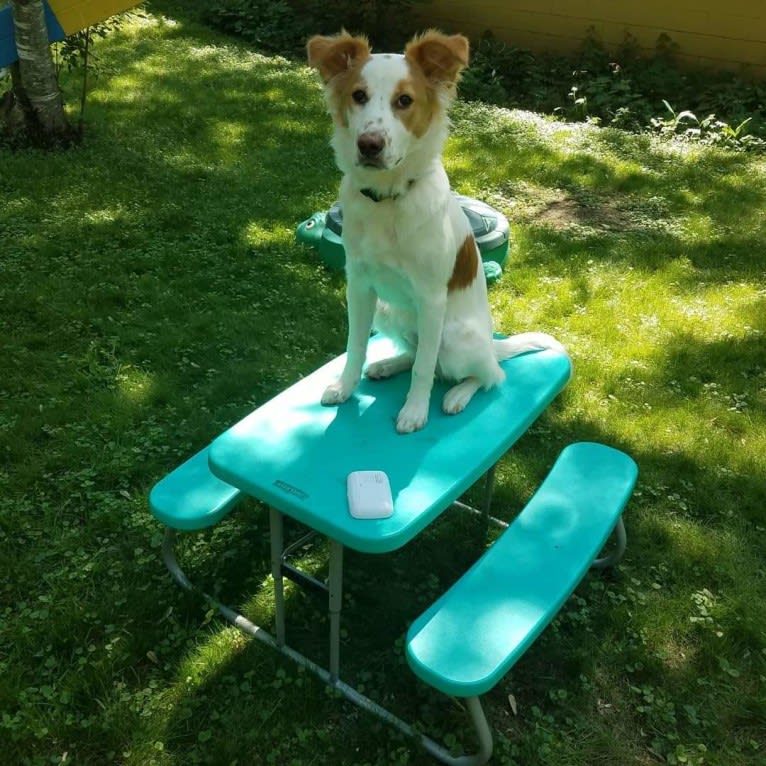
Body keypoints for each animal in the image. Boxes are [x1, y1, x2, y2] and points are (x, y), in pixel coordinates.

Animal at [308, 30, 568, 436]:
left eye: (405, 100)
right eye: (358, 95)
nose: (369, 145)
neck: (388, 200)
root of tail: (490, 344)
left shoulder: (431, 298)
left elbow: (424, 368)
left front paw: (415, 411)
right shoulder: (360, 286)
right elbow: (357, 346)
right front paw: (346, 386)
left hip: (455, 336)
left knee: (487, 374)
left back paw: (457, 395)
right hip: (388, 310)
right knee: (417, 353)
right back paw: (387, 364)